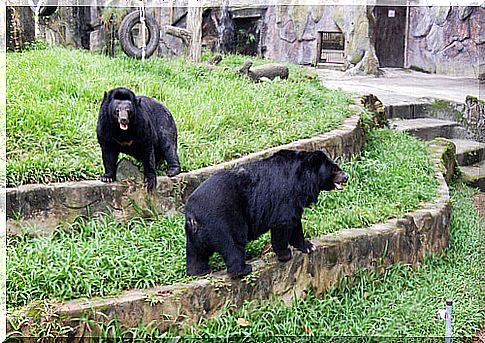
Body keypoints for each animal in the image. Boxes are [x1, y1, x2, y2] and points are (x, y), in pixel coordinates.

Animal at [184, 149, 348, 278]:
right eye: (334, 170)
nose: (346, 176)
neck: (302, 180)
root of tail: (192, 214)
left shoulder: (295, 201)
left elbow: (296, 223)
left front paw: (308, 246)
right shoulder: (285, 196)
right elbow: (284, 223)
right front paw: (285, 254)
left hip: (196, 233)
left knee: (195, 252)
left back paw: (199, 271)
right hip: (223, 220)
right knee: (233, 244)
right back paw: (243, 269)